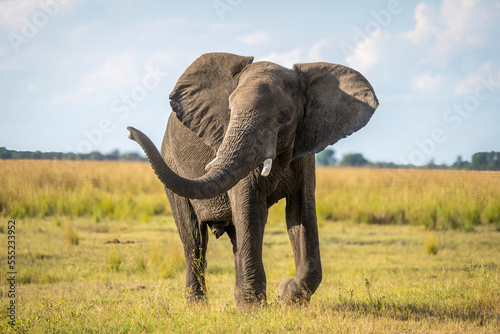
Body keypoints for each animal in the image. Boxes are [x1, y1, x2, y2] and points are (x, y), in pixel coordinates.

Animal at [127, 52, 376, 308]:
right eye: (229, 109)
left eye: (284, 115)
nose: (129, 131)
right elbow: (251, 208)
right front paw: (256, 308)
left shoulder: (305, 148)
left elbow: (300, 212)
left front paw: (285, 295)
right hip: (171, 161)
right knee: (194, 237)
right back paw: (197, 305)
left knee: (233, 235)